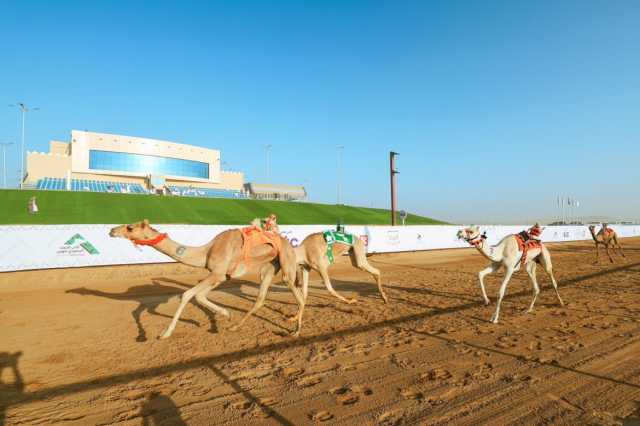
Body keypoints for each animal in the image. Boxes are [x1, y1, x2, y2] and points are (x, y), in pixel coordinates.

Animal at [109, 220, 304, 340]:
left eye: (130, 227)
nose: (111, 230)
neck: (206, 251)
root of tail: (288, 243)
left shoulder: (217, 273)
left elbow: (187, 294)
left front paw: (164, 333)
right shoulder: (221, 275)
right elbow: (199, 296)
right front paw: (225, 315)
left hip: (286, 263)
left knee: (298, 295)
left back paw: (295, 331)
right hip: (269, 267)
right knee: (261, 298)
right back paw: (235, 327)